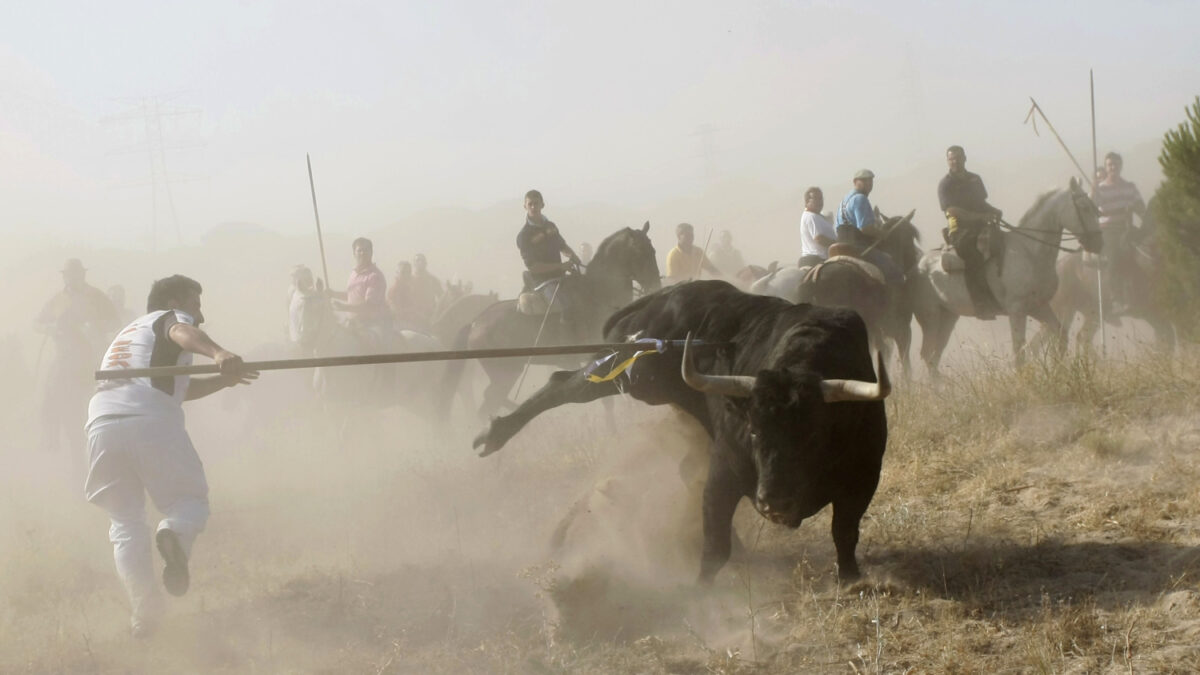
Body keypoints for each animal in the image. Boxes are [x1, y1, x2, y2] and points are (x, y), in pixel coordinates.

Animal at [444, 220, 667, 415]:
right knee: (488, 404)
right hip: (505, 375)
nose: (655, 285)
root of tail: (474, 323)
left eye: (653, 251)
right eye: (639, 253)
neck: (598, 292)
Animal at [472, 279, 888, 583]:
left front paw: (851, 578)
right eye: (754, 432)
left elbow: (844, 531)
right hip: (636, 372)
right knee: (564, 384)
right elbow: (714, 543)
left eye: (814, 435)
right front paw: (702, 594)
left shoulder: (864, 477)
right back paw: (494, 435)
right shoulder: (725, 470)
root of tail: (665, 295)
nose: (773, 501)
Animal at [912, 176, 1099, 372]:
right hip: (930, 317)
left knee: (935, 355)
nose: (1098, 241)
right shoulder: (1017, 311)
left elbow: (1060, 335)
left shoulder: (1039, 307)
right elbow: (1019, 353)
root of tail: (917, 265)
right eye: (1084, 207)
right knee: (928, 354)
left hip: (948, 316)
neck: (1030, 253)